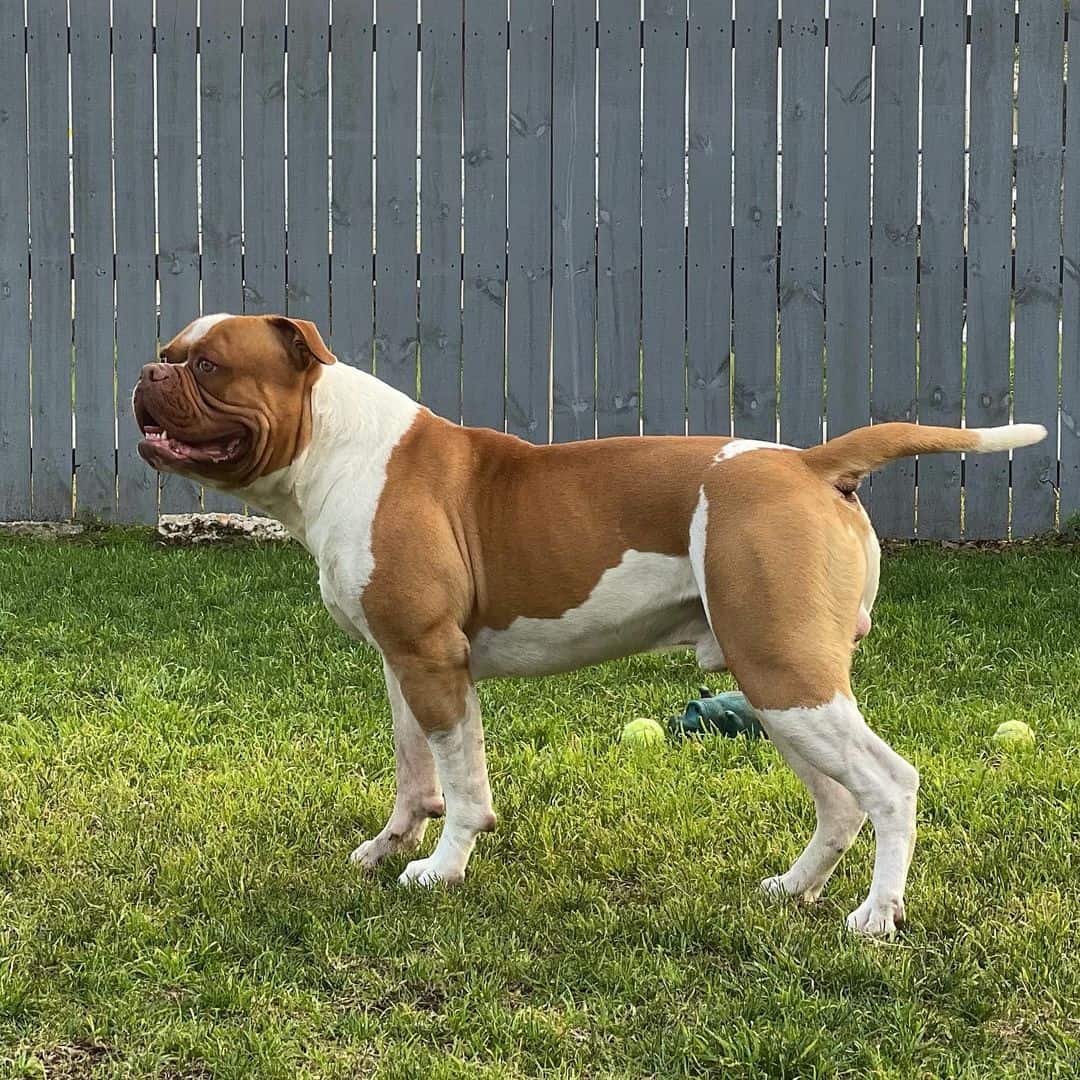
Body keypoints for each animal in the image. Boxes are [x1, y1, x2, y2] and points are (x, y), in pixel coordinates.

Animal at [135, 308, 1045, 933]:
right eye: (171, 352)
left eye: (209, 365)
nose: (146, 372)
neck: (333, 447)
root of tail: (811, 462)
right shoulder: (402, 662)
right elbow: (413, 772)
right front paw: (390, 845)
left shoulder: (436, 662)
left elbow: (463, 783)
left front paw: (443, 867)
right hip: (779, 684)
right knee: (839, 802)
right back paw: (794, 890)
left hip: (790, 677)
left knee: (890, 785)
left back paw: (875, 916)